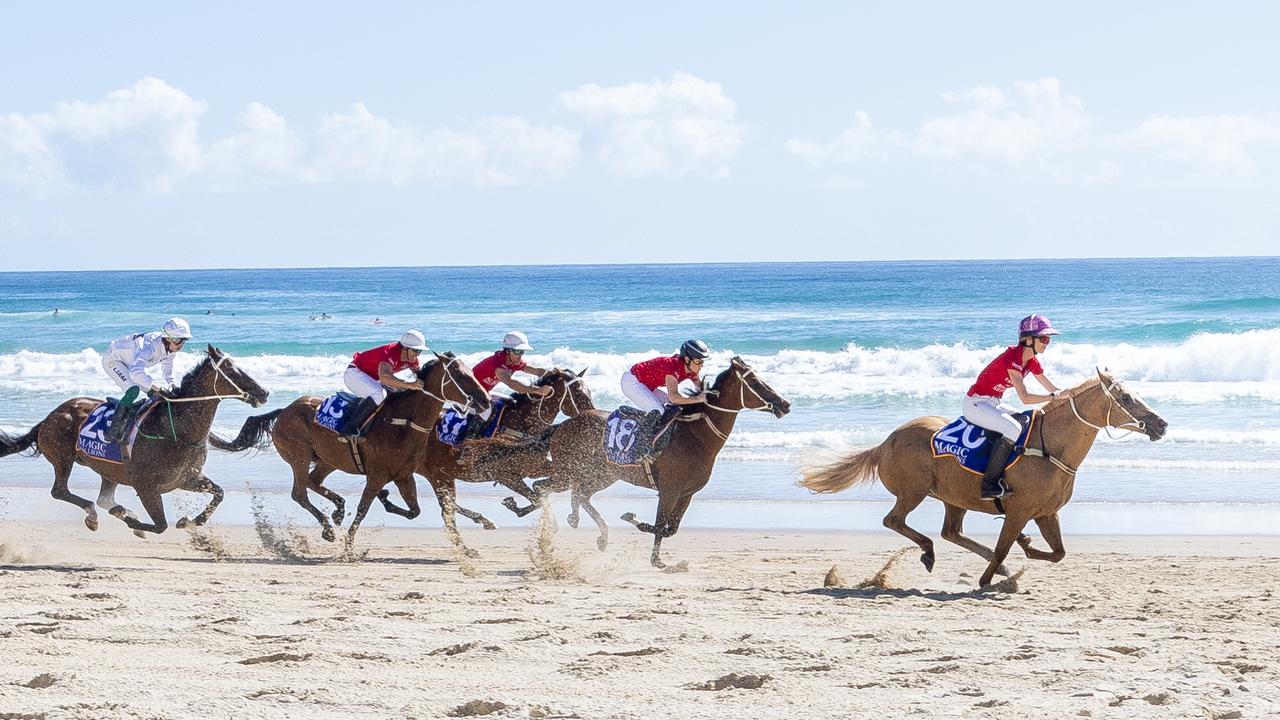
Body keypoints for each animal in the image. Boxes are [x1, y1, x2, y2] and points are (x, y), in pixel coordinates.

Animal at [0, 345, 267, 535]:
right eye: (231, 369)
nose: (263, 392)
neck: (178, 430)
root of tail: (49, 417)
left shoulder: (186, 479)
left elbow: (219, 493)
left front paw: (191, 521)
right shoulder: (146, 487)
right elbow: (160, 525)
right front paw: (135, 523)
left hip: (107, 470)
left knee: (104, 498)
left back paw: (115, 510)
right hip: (62, 457)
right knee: (60, 491)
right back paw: (94, 515)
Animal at [209, 353, 488, 548]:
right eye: (460, 375)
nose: (484, 399)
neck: (403, 422)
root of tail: (283, 411)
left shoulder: (404, 475)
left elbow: (414, 511)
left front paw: (385, 500)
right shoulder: (377, 475)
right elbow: (364, 509)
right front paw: (350, 546)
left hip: (327, 459)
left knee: (313, 481)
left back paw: (338, 509)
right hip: (298, 455)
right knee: (300, 492)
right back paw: (328, 526)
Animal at [509, 353, 788, 566]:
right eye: (755, 381)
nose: (785, 404)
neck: (696, 436)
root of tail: (562, 425)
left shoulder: (687, 493)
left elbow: (670, 528)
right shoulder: (669, 490)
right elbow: (660, 525)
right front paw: (652, 552)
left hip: (601, 474)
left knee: (578, 495)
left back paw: (587, 529)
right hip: (569, 471)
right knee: (543, 487)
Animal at [798, 368, 1172, 589]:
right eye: (1126, 397)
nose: (1161, 423)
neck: (1050, 446)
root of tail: (885, 443)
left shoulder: (1046, 513)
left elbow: (1057, 553)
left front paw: (1022, 550)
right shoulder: (1019, 511)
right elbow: (1004, 547)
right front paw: (991, 576)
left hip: (953, 497)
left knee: (951, 532)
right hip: (913, 492)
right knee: (895, 521)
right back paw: (929, 553)